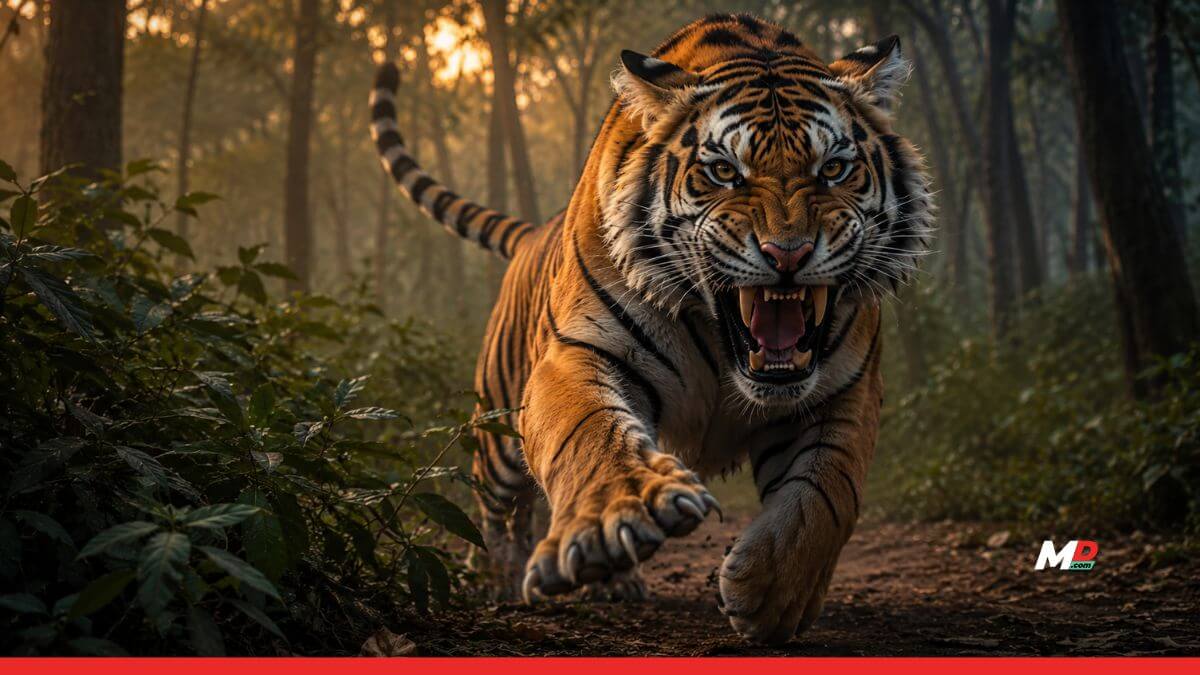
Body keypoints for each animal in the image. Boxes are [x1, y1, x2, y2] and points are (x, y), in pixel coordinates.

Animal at [369, 13, 932, 644]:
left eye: (833, 169)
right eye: (723, 172)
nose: (788, 253)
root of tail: (533, 231)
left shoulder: (846, 390)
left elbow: (824, 497)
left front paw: (769, 594)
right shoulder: (580, 353)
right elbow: (591, 434)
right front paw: (613, 521)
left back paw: (614, 583)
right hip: (495, 428)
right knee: (493, 500)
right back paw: (499, 576)